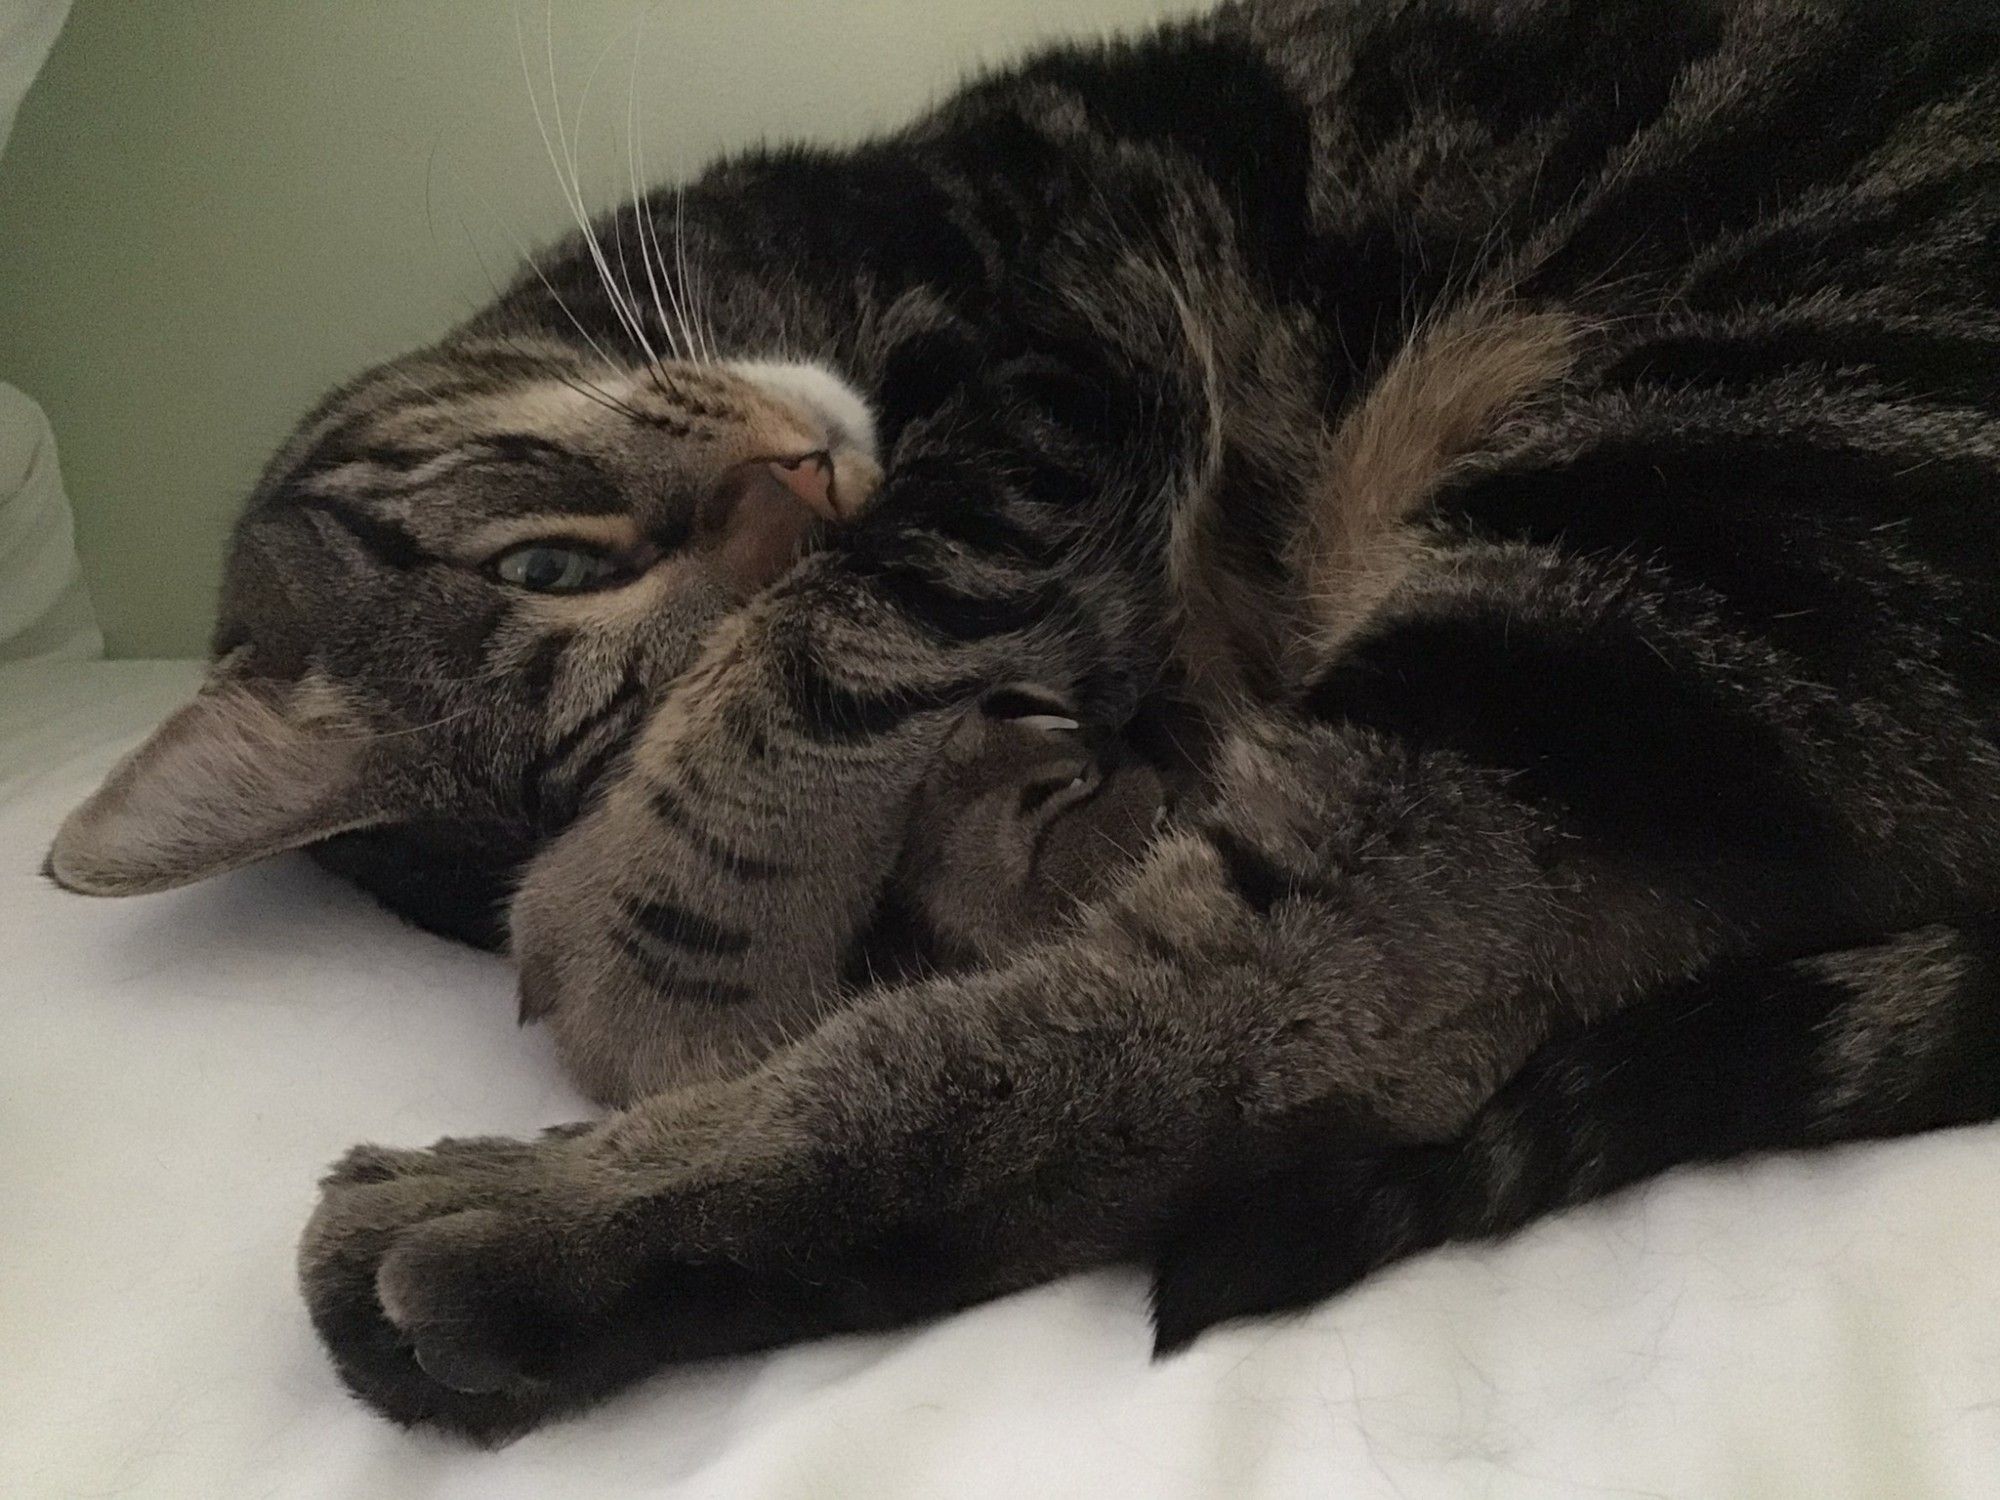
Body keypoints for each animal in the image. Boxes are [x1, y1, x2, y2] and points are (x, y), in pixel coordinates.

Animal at [43, 0, 2000, 1448]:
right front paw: (989, 825)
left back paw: (503, 1239)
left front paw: (663, 945)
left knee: (1289, 1021)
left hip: (1698, 466)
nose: (801, 483)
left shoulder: (1049, 355)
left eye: (549, 562)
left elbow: (854, 624)